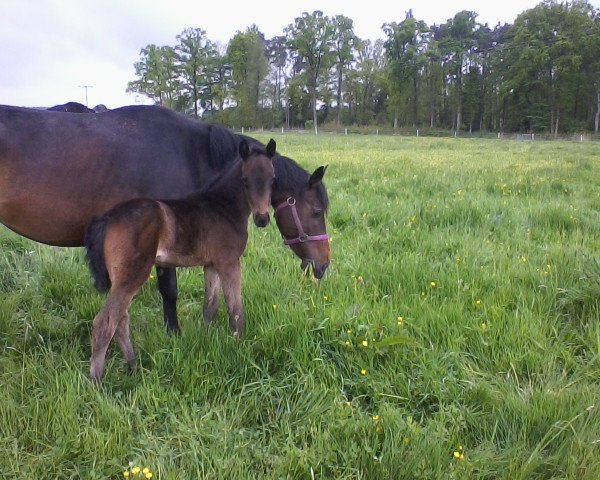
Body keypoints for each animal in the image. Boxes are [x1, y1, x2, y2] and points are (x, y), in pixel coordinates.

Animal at [84, 139, 276, 382]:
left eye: (272, 178)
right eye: (245, 179)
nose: (262, 219)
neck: (222, 207)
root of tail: (108, 217)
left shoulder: (211, 265)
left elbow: (210, 307)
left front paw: (206, 342)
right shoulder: (229, 263)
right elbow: (235, 310)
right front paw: (241, 351)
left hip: (121, 278)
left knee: (121, 320)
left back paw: (133, 367)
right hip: (133, 274)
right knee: (105, 323)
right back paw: (97, 382)